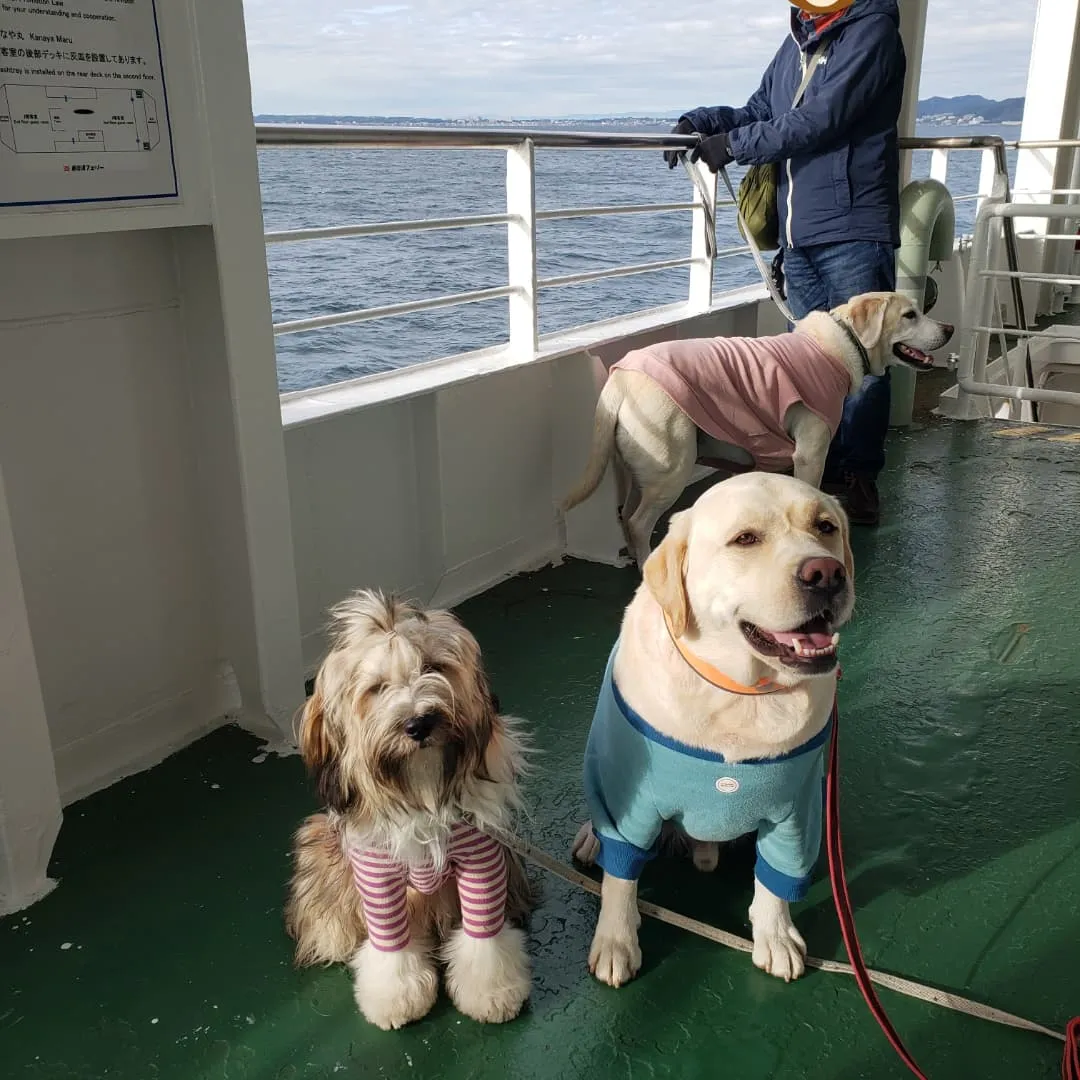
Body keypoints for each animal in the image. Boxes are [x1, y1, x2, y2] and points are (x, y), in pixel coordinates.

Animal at [561, 291, 950, 570]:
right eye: (910, 315)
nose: (949, 329)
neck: (840, 345)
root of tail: (621, 379)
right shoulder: (810, 452)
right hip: (671, 469)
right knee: (640, 523)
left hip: (641, 470)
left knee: (626, 517)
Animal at [570, 473, 855, 989]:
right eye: (745, 539)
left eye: (826, 527)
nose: (827, 573)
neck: (743, 693)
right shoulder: (631, 805)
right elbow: (621, 879)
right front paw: (616, 941)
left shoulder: (796, 808)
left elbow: (775, 878)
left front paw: (775, 935)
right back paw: (589, 838)